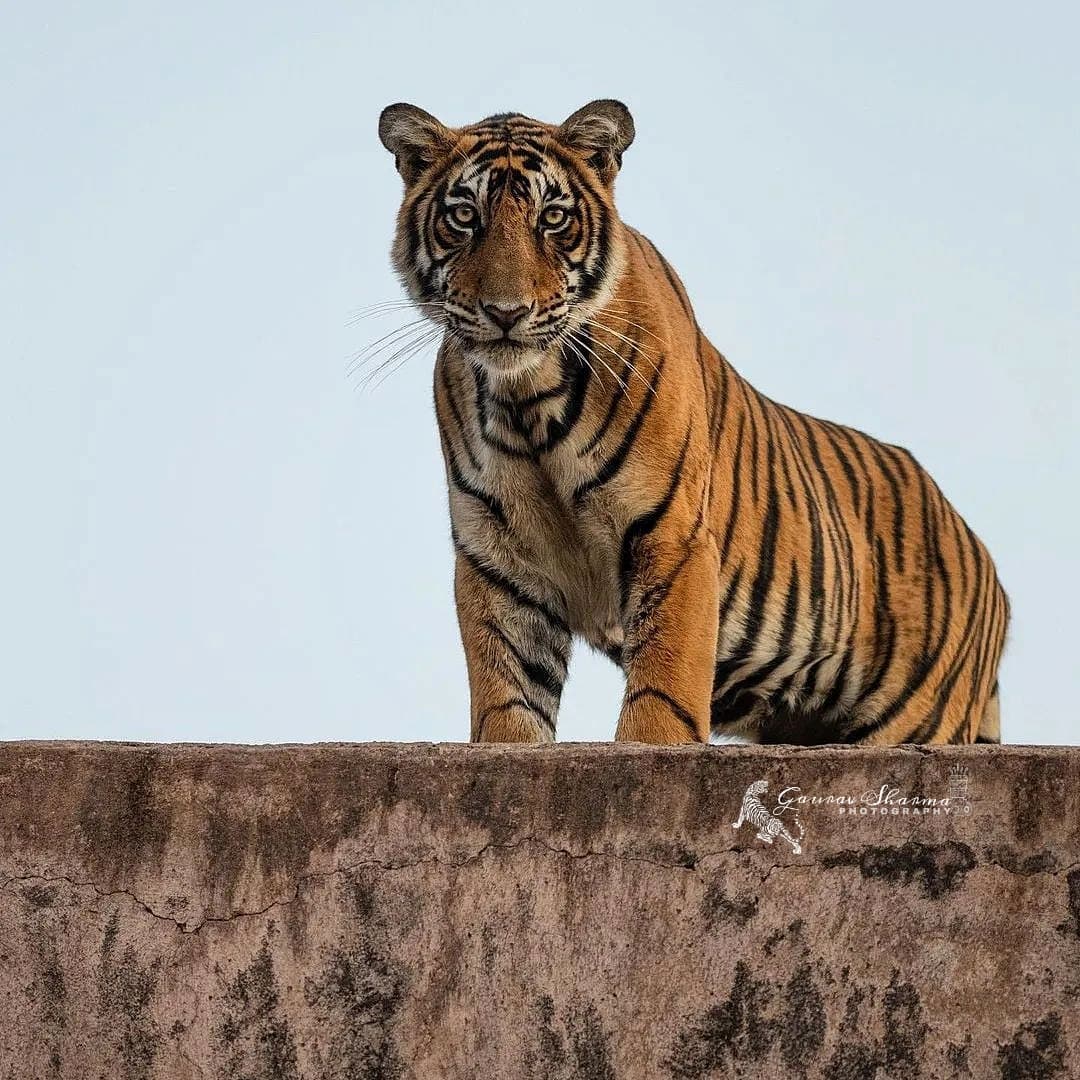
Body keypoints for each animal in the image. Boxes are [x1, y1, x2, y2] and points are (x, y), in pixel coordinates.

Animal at [377, 98, 1009, 746]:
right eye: (463, 216)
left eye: (552, 218)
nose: (506, 313)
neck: (530, 397)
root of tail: (979, 551)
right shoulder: (497, 556)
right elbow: (507, 696)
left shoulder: (671, 533)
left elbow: (664, 682)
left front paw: (650, 743)